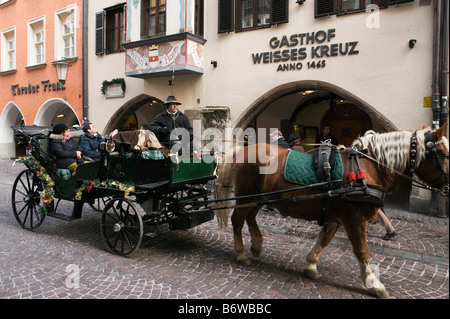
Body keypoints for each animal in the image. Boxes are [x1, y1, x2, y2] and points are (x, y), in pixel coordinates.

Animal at [213, 124, 448, 298]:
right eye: (443, 153)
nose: (448, 186)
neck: (368, 168)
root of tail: (241, 149)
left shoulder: (336, 216)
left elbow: (324, 240)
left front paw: (311, 265)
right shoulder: (355, 219)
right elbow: (362, 252)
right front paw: (373, 283)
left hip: (260, 198)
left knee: (250, 218)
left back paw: (257, 243)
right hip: (246, 196)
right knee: (237, 220)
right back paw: (242, 253)